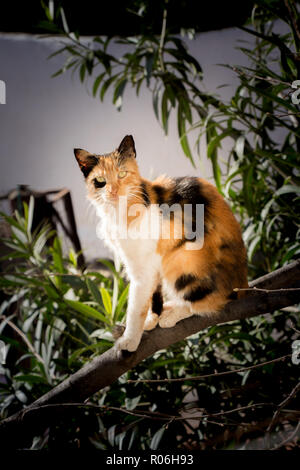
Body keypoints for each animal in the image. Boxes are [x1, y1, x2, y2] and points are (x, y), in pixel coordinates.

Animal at [74, 134, 247, 350]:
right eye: (100, 181)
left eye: (122, 174)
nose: (113, 191)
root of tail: (243, 283)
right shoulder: (148, 264)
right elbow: (152, 295)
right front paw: (151, 318)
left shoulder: (143, 267)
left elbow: (135, 307)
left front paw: (130, 340)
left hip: (180, 259)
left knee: (212, 301)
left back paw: (174, 314)